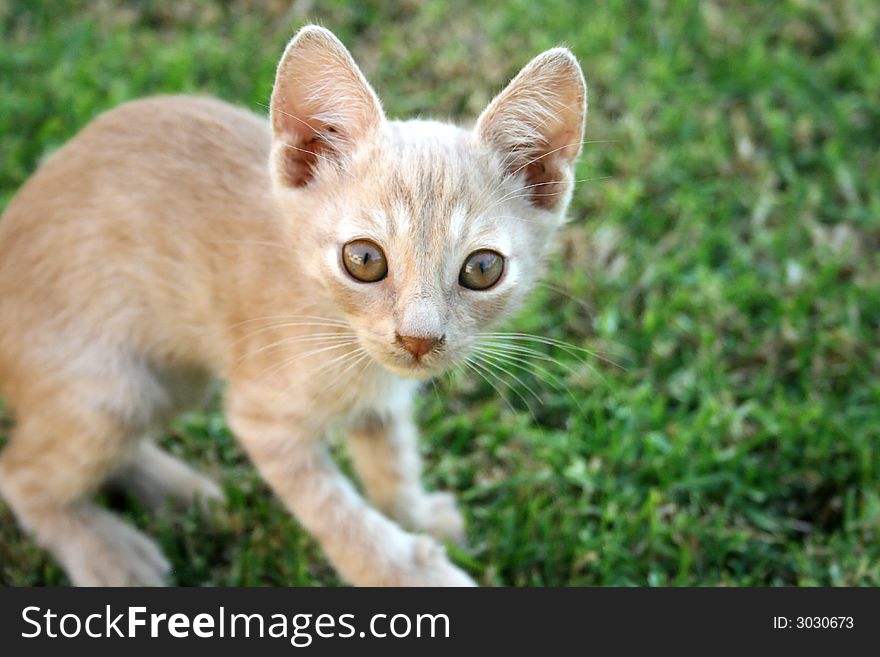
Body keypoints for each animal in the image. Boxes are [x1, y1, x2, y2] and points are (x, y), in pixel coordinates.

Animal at [1, 24, 592, 584]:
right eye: (364, 259)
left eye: (482, 269)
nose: (419, 339)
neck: (338, 332)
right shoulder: (265, 420)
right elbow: (341, 517)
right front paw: (408, 573)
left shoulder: (381, 403)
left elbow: (392, 463)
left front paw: (417, 515)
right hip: (113, 388)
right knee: (22, 471)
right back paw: (107, 549)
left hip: (171, 382)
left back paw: (175, 492)